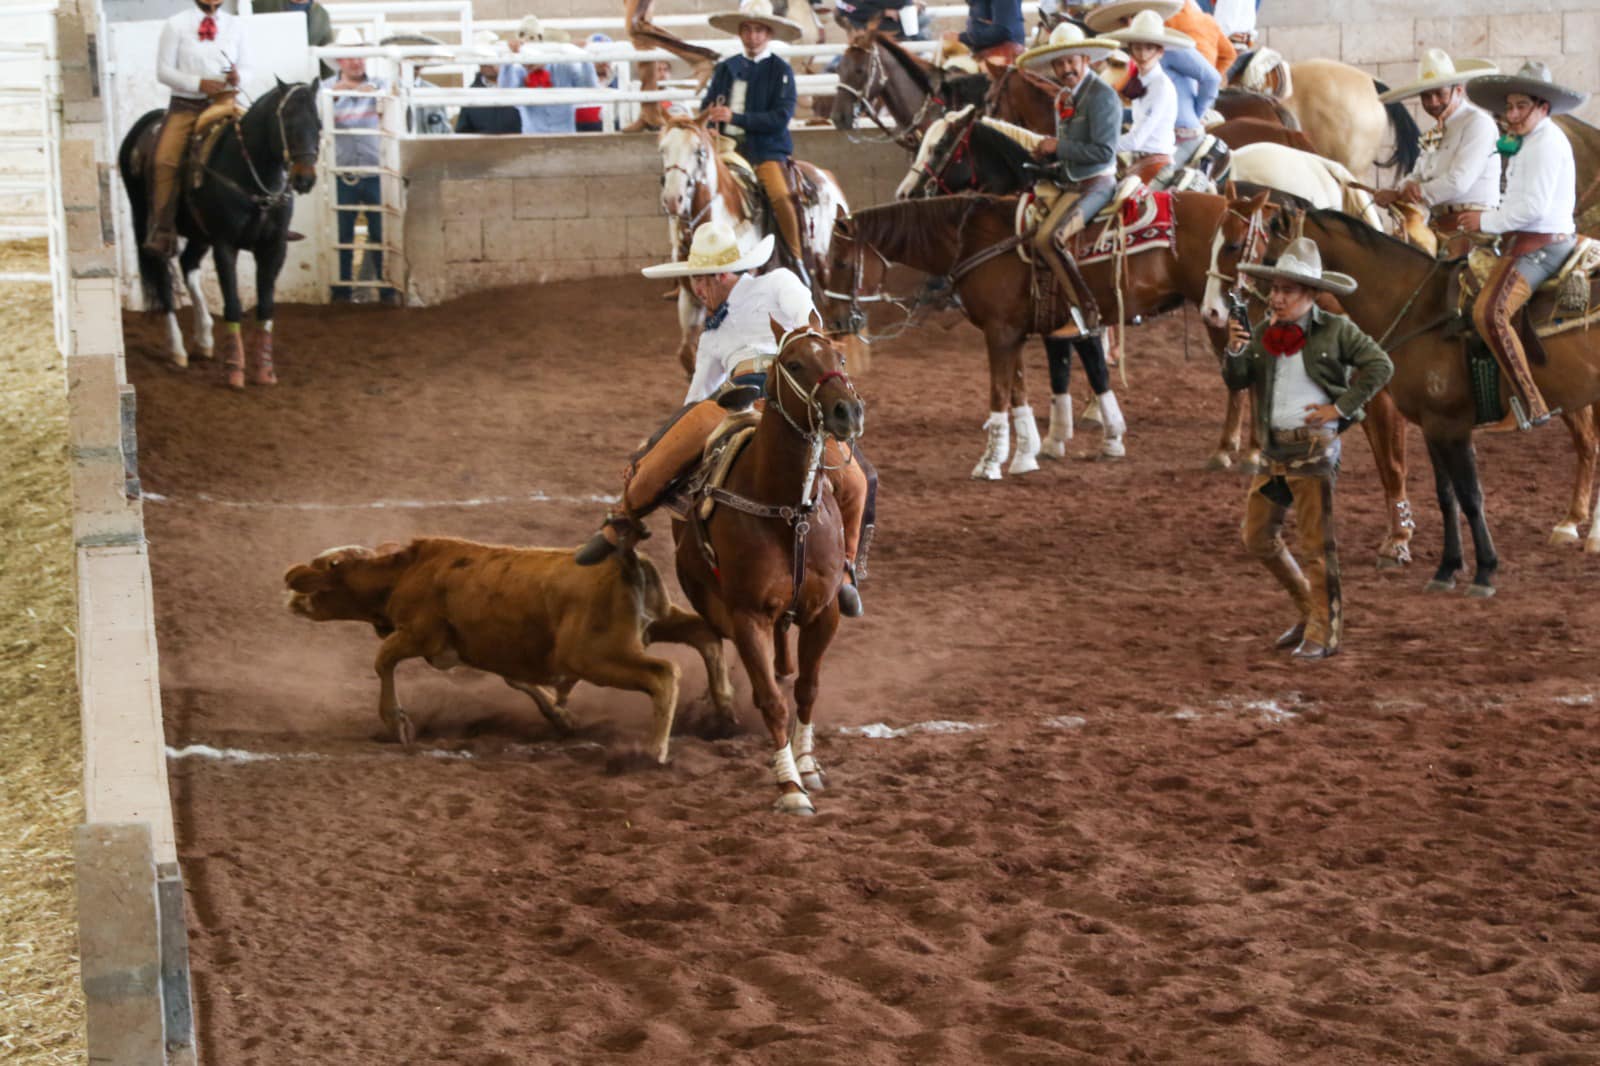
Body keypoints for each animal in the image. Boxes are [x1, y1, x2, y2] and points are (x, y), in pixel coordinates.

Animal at [117, 78, 318, 388]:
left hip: (199, 233)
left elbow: (266, 305)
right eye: (288, 121)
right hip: (147, 222)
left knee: (188, 264)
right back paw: (177, 350)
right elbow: (233, 305)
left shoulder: (274, 247)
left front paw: (265, 370)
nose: (305, 179)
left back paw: (204, 339)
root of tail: (148, 122)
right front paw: (235, 369)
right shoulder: (225, 244)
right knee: (163, 277)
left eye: (318, 124)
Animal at [652, 115, 851, 372]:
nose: (672, 200)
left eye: (699, 152)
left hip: (827, 268)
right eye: (662, 149)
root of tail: (826, 176)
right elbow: (688, 355)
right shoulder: (690, 298)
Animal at [672, 320, 870, 809]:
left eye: (839, 357)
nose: (848, 411)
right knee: (714, 641)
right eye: (794, 364)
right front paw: (789, 786)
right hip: (713, 602)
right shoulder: (748, 617)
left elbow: (806, 690)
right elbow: (772, 700)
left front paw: (809, 765)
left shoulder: (825, 612)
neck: (789, 511)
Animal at [1280, 208, 1600, 589]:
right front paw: (1448, 568)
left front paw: (1485, 570)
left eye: (1269, 236)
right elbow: (1447, 496)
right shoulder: (1433, 426)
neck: (1419, 310)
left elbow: (1471, 496)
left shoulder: (1451, 425)